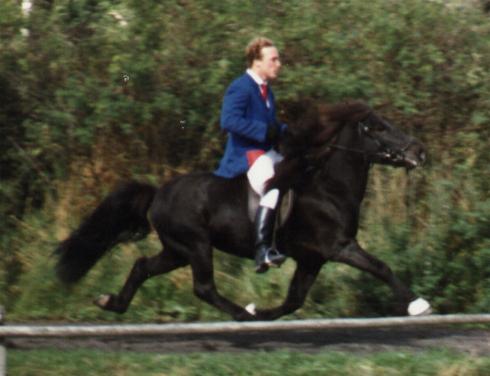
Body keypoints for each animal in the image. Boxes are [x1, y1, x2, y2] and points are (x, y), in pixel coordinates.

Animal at [55, 101, 430, 322]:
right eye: (378, 128)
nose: (419, 151)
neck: (328, 188)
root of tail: (159, 193)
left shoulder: (313, 259)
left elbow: (293, 300)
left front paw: (261, 310)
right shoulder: (339, 247)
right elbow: (381, 267)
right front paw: (417, 304)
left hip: (176, 250)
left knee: (143, 266)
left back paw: (111, 303)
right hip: (195, 245)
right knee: (203, 287)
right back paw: (240, 314)